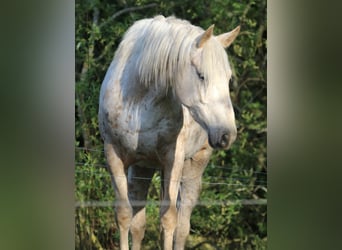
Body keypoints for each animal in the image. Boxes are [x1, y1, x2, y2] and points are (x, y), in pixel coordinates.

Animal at [97, 16, 239, 250]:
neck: (137, 100)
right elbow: (125, 215)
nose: (227, 135)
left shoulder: (173, 159)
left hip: (192, 168)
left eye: (228, 79)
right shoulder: (114, 155)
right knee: (139, 225)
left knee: (181, 226)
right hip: (143, 167)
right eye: (202, 76)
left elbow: (169, 218)